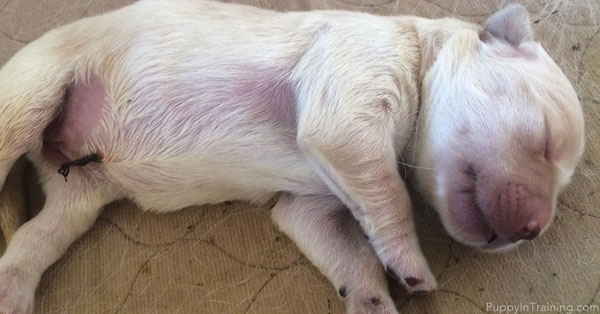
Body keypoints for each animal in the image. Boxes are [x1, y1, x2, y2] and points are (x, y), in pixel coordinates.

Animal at [0, 0, 584, 314]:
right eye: (545, 139)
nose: (534, 228)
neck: (421, 56)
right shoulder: (350, 107)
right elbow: (391, 198)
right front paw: (413, 267)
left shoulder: (311, 204)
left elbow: (353, 254)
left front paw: (373, 298)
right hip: (29, 95)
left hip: (78, 194)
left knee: (33, 239)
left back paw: (12, 291)